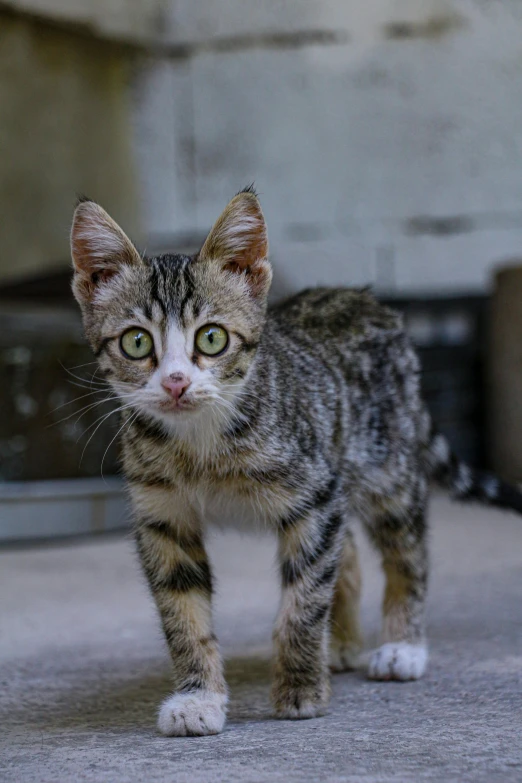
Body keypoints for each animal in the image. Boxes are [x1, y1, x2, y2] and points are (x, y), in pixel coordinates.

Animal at [70, 188, 520, 736]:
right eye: (136, 342)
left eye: (212, 338)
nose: (176, 383)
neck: (200, 443)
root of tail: (363, 298)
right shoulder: (162, 515)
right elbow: (182, 612)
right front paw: (198, 697)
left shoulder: (315, 492)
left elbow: (303, 600)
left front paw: (301, 688)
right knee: (347, 552)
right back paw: (343, 643)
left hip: (387, 465)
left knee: (405, 549)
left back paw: (402, 645)